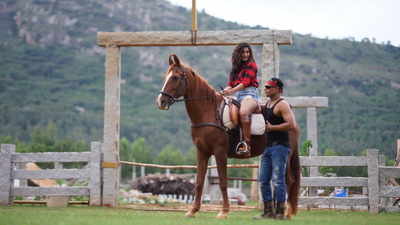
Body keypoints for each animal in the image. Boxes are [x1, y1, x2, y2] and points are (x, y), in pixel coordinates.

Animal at [156, 54, 300, 218]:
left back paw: (287, 213)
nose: (160, 101)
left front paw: (224, 212)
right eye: (166, 76)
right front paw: (192, 210)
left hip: (286, 156)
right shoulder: (202, 152)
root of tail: (290, 117)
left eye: (175, 77)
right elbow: (199, 182)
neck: (209, 112)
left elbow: (223, 182)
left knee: (288, 180)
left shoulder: (220, 152)